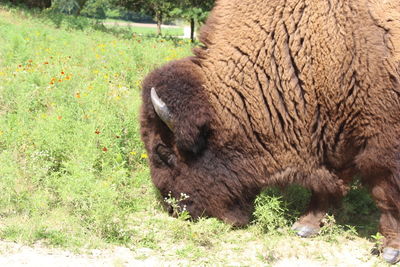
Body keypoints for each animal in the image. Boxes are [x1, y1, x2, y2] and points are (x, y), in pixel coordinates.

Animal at [140, 0, 400, 264]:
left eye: (163, 152)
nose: (173, 209)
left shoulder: (383, 146)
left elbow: (385, 194)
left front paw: (390, 250)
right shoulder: (333, 135)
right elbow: (328, 184)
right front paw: (305, 226)